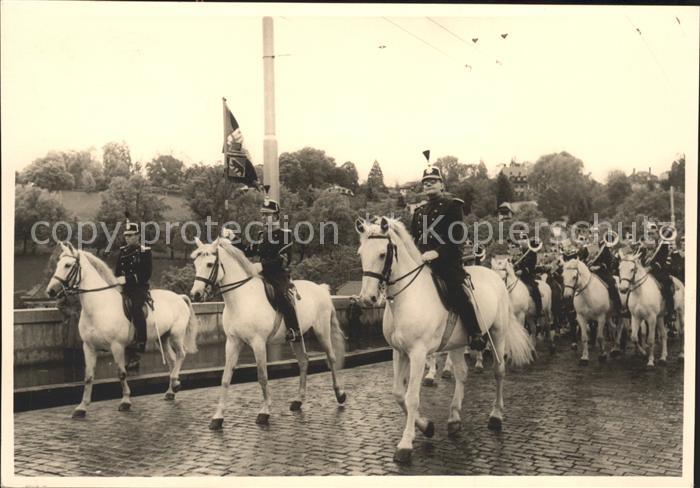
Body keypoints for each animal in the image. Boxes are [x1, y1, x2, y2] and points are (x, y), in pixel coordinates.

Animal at [45, 240, 200, 416]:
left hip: (176, 335)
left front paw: (125, 401)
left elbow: (121, 373)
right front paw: (82, 407)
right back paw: (170, 391)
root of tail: (179, 296)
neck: (99, 307)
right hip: (164, 337)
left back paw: (175, 383)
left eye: (68, 265)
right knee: (172, 360)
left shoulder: (117, 346)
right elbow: (88, 377)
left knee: (181, 354)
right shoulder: (88, 347)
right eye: (58, 264)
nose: (50, 291)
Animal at [190, 238, 346, 428]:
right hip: (296, 337)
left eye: (209, 263)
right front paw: (218, 416)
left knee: (331, 358)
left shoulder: (258, 343)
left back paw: (339, 394)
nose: (195, 295)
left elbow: (262, 376)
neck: (241, 299)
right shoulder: (233, 342)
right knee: (303, 361)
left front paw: (264, 411)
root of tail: (321, 288)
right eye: (195, 264)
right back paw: (299, 400)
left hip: (322, 331)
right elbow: (226, 378)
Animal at [358, 218, 532, 466]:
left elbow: (411, 397)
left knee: (499, 372)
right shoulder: (398, 351)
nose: (367, 299)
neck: (407, 296)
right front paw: (426, 426)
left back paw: (496, 415)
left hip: (497, 333)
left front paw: (405, 444)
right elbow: (398, 394)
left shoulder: (418, 353)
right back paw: (454, 418)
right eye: (361, 253)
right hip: (458, 343)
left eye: (383, 254)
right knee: (461, 374)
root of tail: (493, 276)